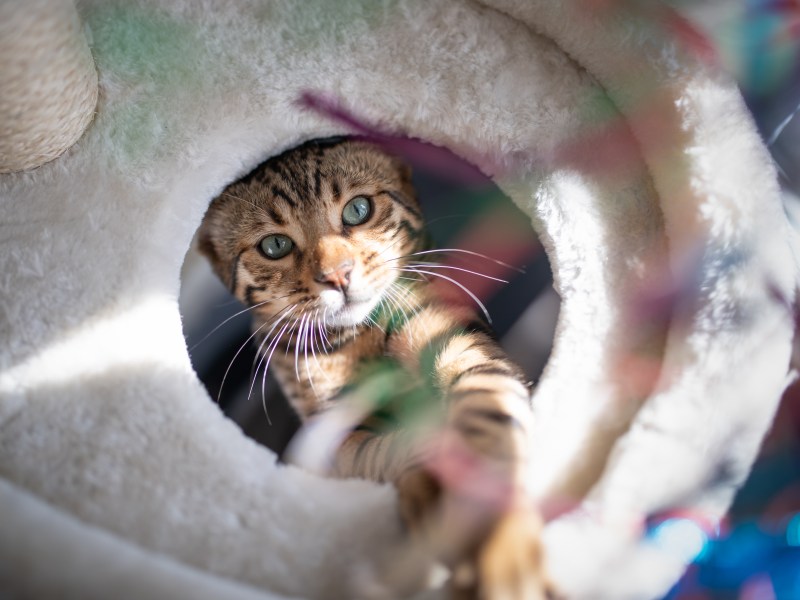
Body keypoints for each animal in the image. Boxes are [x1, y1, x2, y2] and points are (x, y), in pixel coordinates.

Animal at [197, 138, 552, 596]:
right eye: (274, 246)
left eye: (358, 210)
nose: (337, 275)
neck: (358, 339)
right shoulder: (330, 436)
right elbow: (388, 449)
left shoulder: (463, 350)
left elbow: (487, 427)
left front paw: (500, 540)